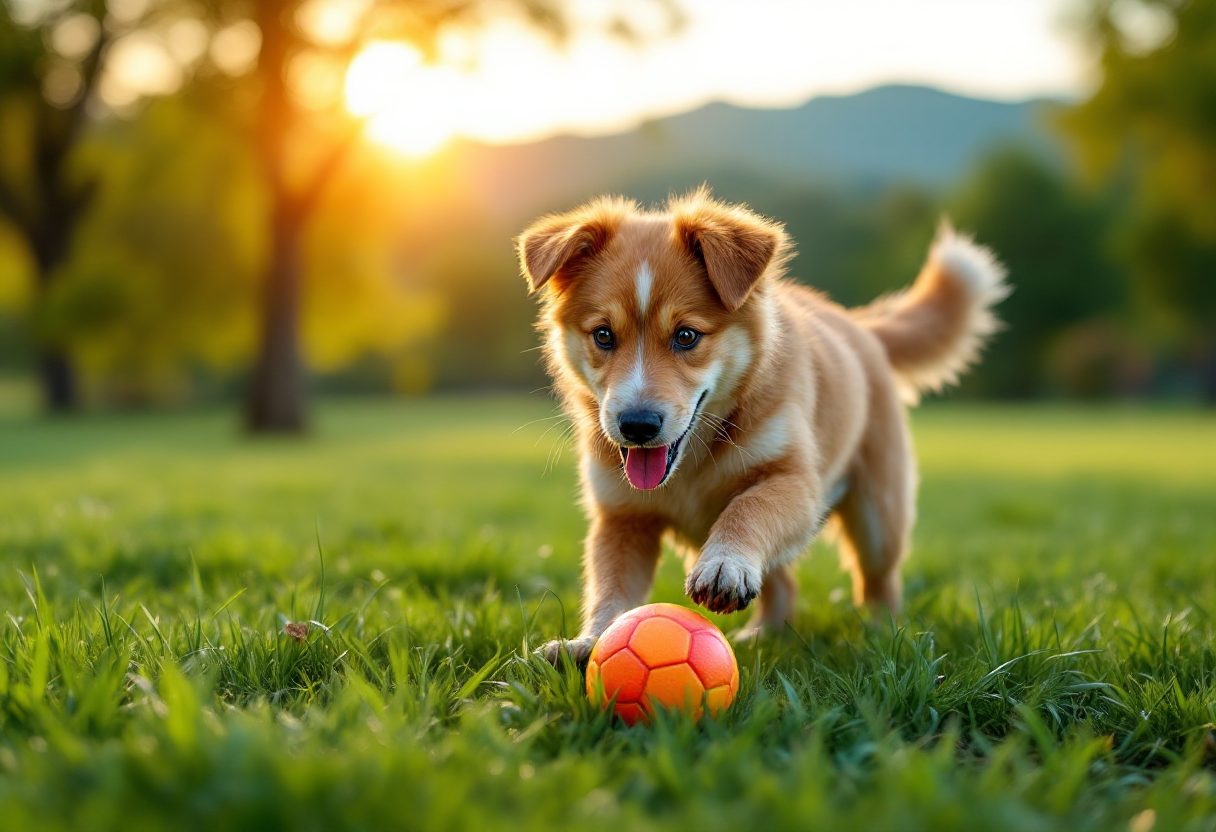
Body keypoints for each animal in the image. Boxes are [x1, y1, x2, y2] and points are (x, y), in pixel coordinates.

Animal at [522, 188, 1006, 661]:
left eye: (686, 336)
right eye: (603, 335)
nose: (636, 426)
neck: (694, 460)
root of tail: (859, 325)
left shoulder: (795, 481)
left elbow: (747, 508)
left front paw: (724, 564)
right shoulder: (623, 515)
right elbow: (611, 586)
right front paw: (590, 643)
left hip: (879, 513)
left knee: (879, 579)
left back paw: (881, 633)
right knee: (783, 582)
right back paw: (765, 635)